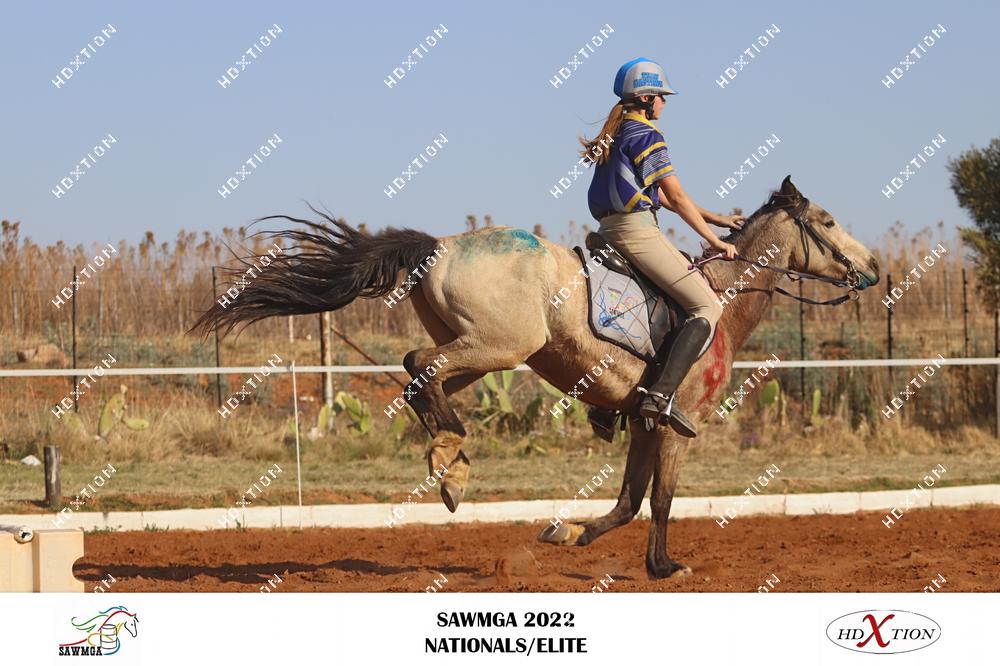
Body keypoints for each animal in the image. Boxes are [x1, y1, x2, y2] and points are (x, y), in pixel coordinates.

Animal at [193, 175, 879, 579]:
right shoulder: (673, 426)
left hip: (476, 349)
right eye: (828, 219)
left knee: (419, 375)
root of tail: (441, 244)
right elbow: (659, 500)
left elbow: (627, 502)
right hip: (501, 346)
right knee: (420, 369)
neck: (723, 302)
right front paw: (664, 567)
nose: (873, 268)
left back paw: (449, 463)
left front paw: (567, 533)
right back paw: (452, 459)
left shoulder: (640, 423)